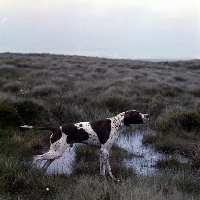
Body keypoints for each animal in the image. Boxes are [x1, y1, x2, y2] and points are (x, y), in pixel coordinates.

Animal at [21, 109, 149, 178]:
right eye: (137, 114)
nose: (148, 115)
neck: (116, 124)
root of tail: (56, 128)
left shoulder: (103, 151)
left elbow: (104, 168)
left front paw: (106, 179)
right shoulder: (105, 151)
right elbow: (107, 168)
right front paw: (110, 179)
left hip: (55, 153)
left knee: (44, 165)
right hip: (56, 152)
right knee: (37, 157)